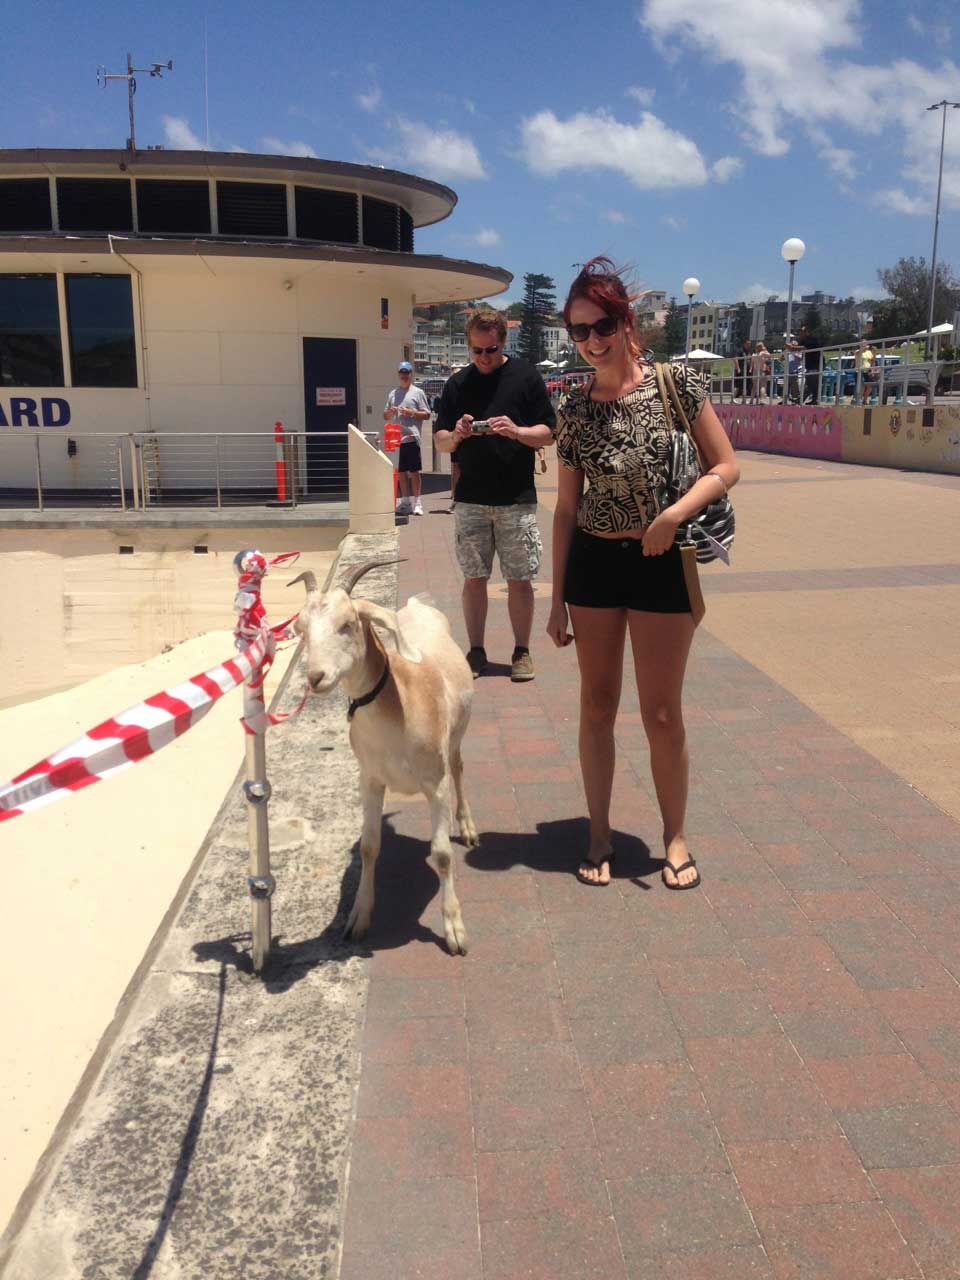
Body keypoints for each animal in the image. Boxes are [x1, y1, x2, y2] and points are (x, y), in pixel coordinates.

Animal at [289, 555, 478, 957]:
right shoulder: (370, 780)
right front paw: (358, 918)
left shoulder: (435, 783)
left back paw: (468, 828)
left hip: (456, 738)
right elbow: (369, 847)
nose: (316, 677)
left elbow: (442, 854)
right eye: (301, 628)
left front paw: (454, 930)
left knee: (459, 767)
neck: (399, 703)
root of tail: (417, 606)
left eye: (347, 624)